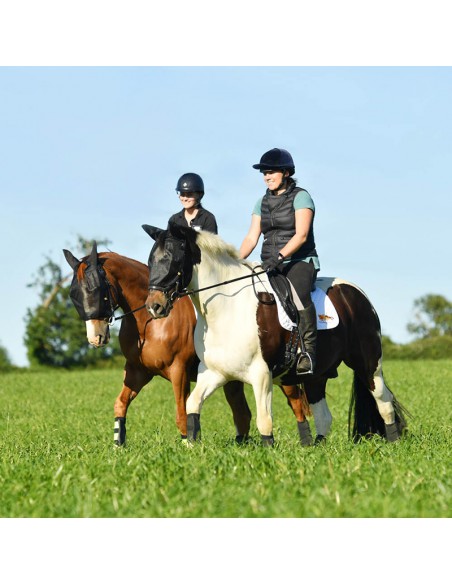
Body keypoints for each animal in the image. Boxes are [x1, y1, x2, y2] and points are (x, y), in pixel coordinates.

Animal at [63, 244, 310, 444]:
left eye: (95, 289)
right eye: (74, 294)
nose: (95, 338)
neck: (150, 322)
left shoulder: (178, 370)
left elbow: (181, 414)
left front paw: (186, 445)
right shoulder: (137, 371)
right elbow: (120, 404)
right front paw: (118, 445)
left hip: (279, 374)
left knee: (297, 405)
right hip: (232, 378)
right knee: (243, 413)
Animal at [143, 221, 408, 444]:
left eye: (172, 258)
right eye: (150, 261)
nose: (154, 306)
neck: (227, 308)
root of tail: (356, 293)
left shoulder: (261, 374)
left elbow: (264, 421)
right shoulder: (214, 373)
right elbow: (192, 405)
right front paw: (190, 447)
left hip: (368, 363)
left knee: (383, 401)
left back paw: (393, 443)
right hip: (316, 374)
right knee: (324, 416)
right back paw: (318, 448)